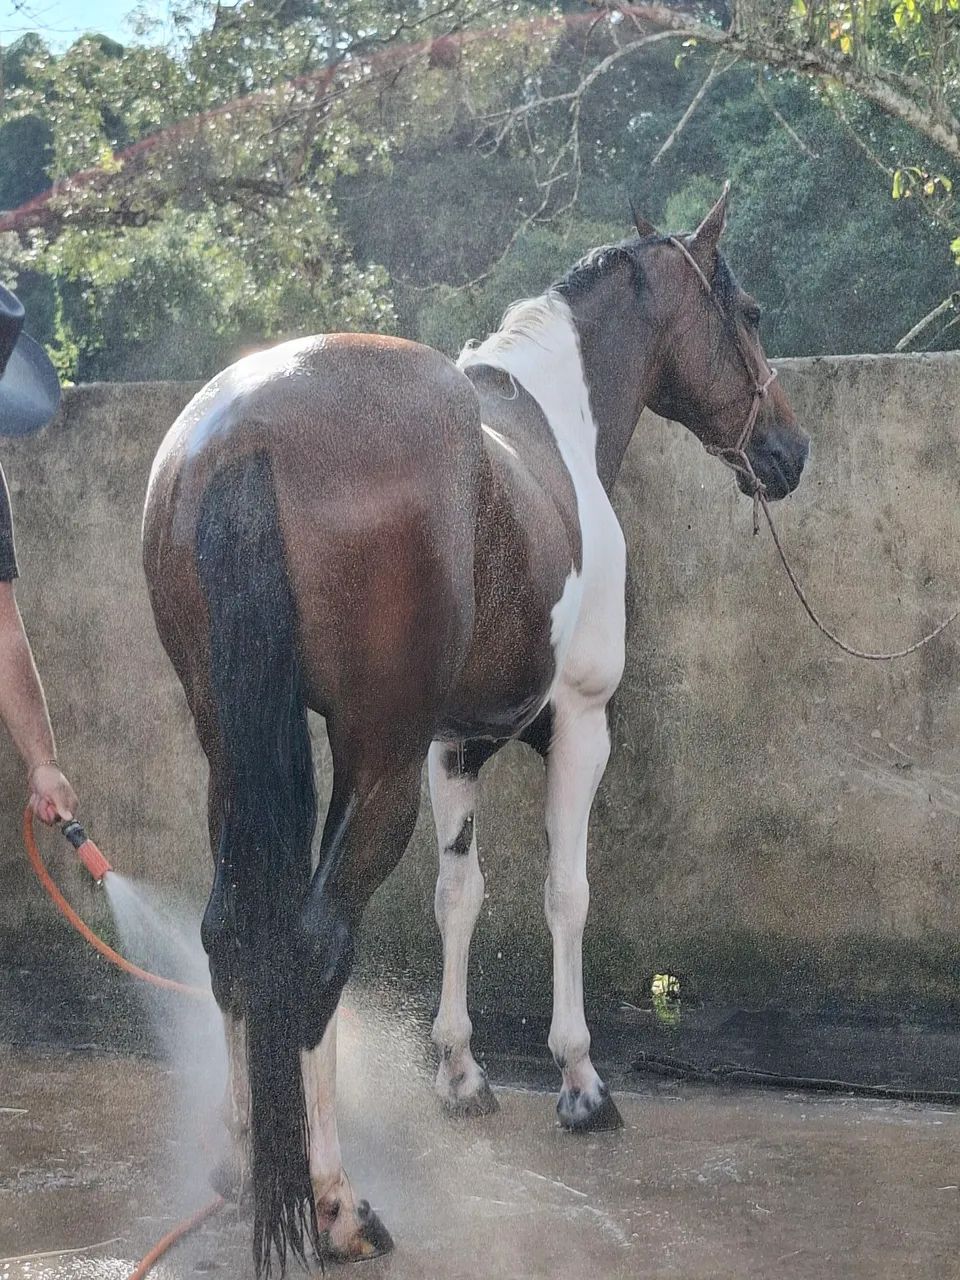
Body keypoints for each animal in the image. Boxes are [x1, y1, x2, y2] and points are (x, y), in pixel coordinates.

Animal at [141, 186, 809, 1275]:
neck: (552, 429)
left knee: (232, 930)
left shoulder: (454, 745)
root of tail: (244, 435)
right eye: (747, 313)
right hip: (372, 758)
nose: (788, 454)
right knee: (314, 943)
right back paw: (339, 1207)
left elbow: (460, 895)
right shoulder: (577, 723)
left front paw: (461, 1074)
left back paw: (247, 1163)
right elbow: (565, 894)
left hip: (233, 751)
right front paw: (581, 1083)